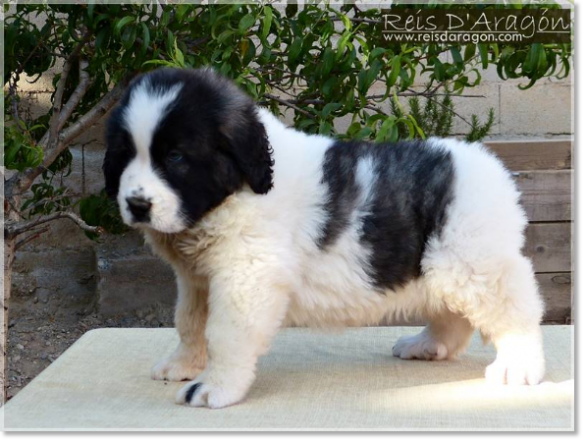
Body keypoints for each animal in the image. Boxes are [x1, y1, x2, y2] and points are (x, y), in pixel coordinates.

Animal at [104, 67, 544, 410]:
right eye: (124, 154)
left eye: (175, 157)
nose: (136, 204)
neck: (236, 192)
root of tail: (490, 165)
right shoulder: (196, 279)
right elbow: (190, 321)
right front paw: (182, 365)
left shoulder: (247, 276)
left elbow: (225, 333)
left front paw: (215, 387)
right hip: (447, 264)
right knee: (452, 313)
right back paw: (427, 344)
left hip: (472, 261)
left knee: (515, 311)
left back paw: (519, 366)